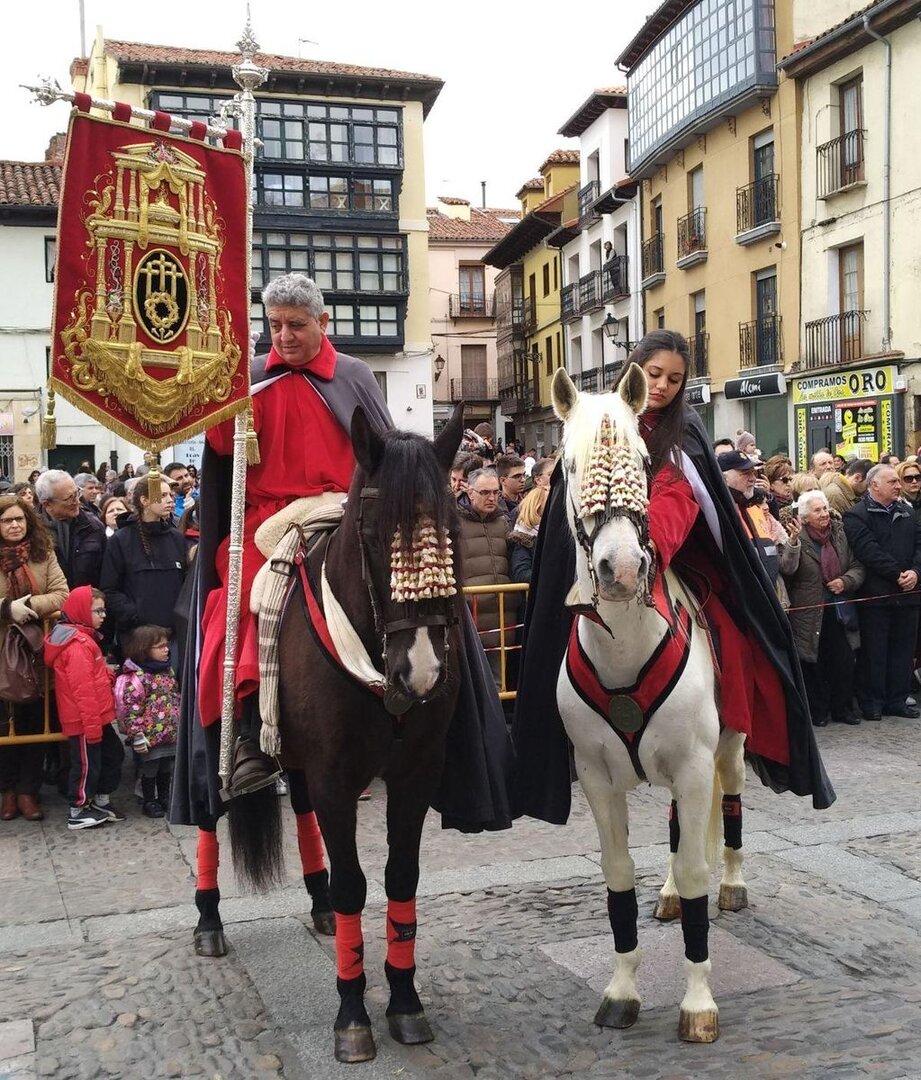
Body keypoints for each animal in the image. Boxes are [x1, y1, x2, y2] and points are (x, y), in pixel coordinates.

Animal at [227, 406, 464, 1062]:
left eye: (451, 528)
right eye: (374, 531)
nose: (421, 671)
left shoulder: (416, 774)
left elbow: (400, 877)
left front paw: (404, 1002)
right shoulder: (338, 780)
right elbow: (355, 886)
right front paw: (353, 1014)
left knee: (303, 811)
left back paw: (317, 905)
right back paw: (207, 925)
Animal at [550, 367, 742, 1041]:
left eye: (641, 460)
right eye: (570, 465)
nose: (622, 569)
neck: (625, 649)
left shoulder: (693, 764)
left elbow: (694, 869)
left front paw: (698, 1003)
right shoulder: (595, 777)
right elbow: (618, 874)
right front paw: (622, 990)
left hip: (729, 748)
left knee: (728, 806)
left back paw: (733, 882)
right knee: (682, 834)